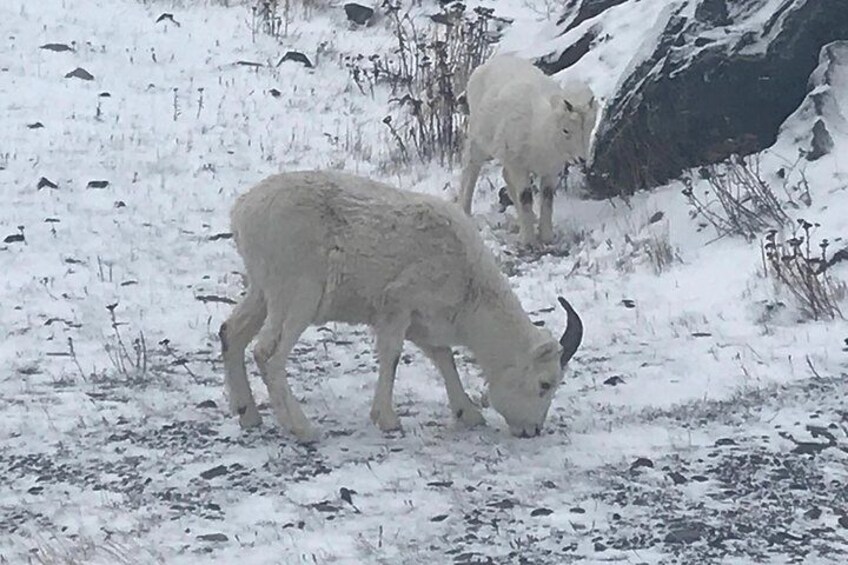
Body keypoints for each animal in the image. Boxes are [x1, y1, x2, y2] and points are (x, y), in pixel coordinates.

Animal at [219, 170, 584, 442]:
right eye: (545, 384)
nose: (533, 431)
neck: (469, 284)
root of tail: (242, 213)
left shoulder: (423, 324)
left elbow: (444, 359)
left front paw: (468, 414)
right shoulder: (396, 309)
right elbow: (392, 357)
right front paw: (388, 420)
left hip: (262, 294)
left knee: (231, 334)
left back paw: (249, 416)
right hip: (297, 298)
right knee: (267, 353)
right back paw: (302, 429)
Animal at [458, 55, 596, 247]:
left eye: (590, 128)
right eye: (566, 130)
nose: (581, 159)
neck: (540, 132)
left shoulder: (550, 170)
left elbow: (547, 199)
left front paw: (546, 236)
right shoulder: (519, 166)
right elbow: (525, 197)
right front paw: (528, 240)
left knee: (505, 176)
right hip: (479, 141)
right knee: (470, 167)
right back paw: (465, 211)